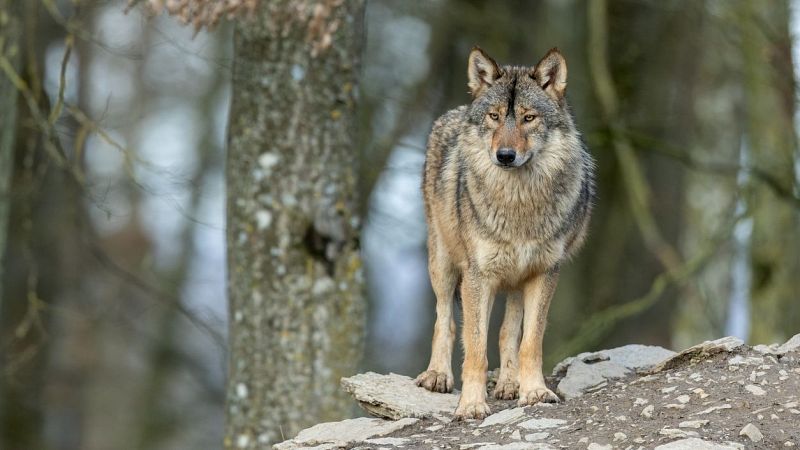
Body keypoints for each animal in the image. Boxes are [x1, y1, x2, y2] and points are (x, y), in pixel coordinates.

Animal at [412, 47, 592, 420]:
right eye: (494, 117)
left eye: (528, 118)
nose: (505, 155)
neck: (518, 204)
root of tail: (453, 112)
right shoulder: (478, 277)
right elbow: (475, 348)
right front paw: (471, 405)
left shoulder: (544, 273)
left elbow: (529, 342)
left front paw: (534, 391)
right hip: (443, 265)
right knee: (445, 320)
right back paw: (437, 375)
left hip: (515, 280)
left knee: (509, 331)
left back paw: (510, 384)